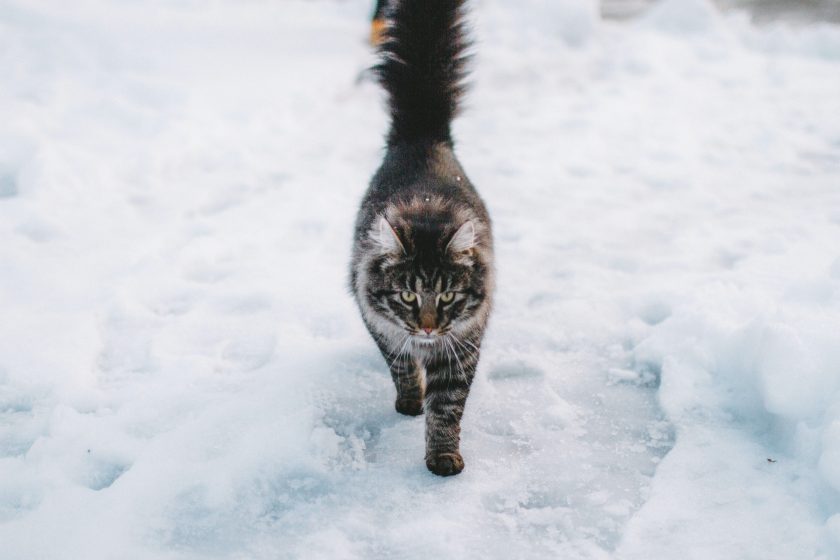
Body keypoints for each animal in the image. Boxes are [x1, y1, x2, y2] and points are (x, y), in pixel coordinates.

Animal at [348, 0, 492, 476]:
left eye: (447, 297)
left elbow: (446, 407)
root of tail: (423, 136)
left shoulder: (463, 342)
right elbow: (403, 367)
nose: (428, 327)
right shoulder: (380, 322)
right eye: (408, 297)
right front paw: (411, 401)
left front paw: (443, 456)